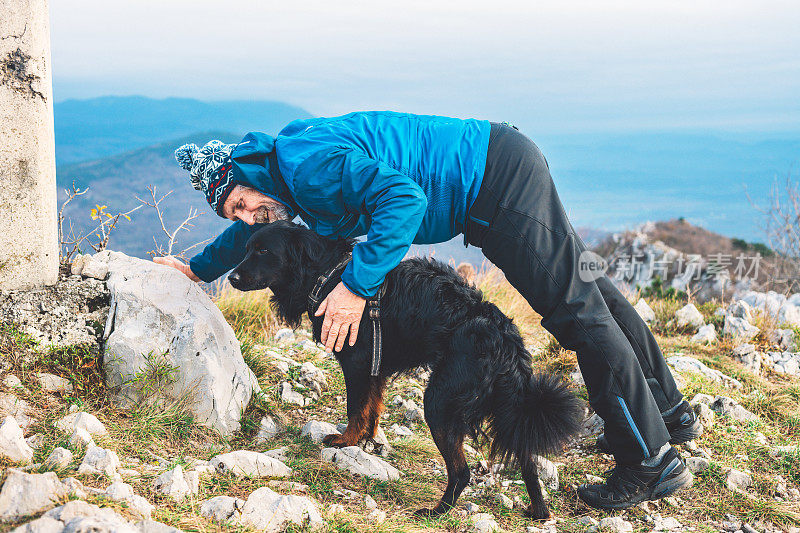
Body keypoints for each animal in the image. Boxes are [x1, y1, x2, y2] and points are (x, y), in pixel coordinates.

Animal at [228, 220, 584, 520]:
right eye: (246, 248)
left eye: (263, 251)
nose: (231, 277)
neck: (327, 273)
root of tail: (504, 336)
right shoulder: (375, 366)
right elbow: (371, 408)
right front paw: (367, 440)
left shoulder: (356, 362)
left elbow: (355, 408)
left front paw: (346, 441)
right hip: (507, 406)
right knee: (528, 460)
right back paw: (538, 511)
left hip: (439, 401)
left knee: (461, 471)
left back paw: (436, 512)